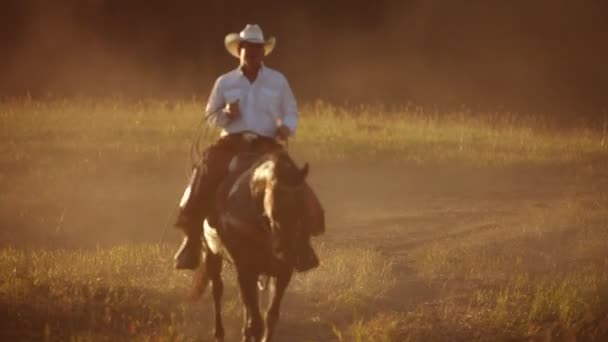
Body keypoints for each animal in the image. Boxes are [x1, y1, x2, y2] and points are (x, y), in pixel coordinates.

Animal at [190, 150, 316, 342]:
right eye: (274, 211)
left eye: (301, 205)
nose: (285, 252)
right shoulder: (245, 270)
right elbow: (256, 322)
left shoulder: (282, 272)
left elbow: (270, 317)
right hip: (212, 255)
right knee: (217, 290)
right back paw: (219, 333)